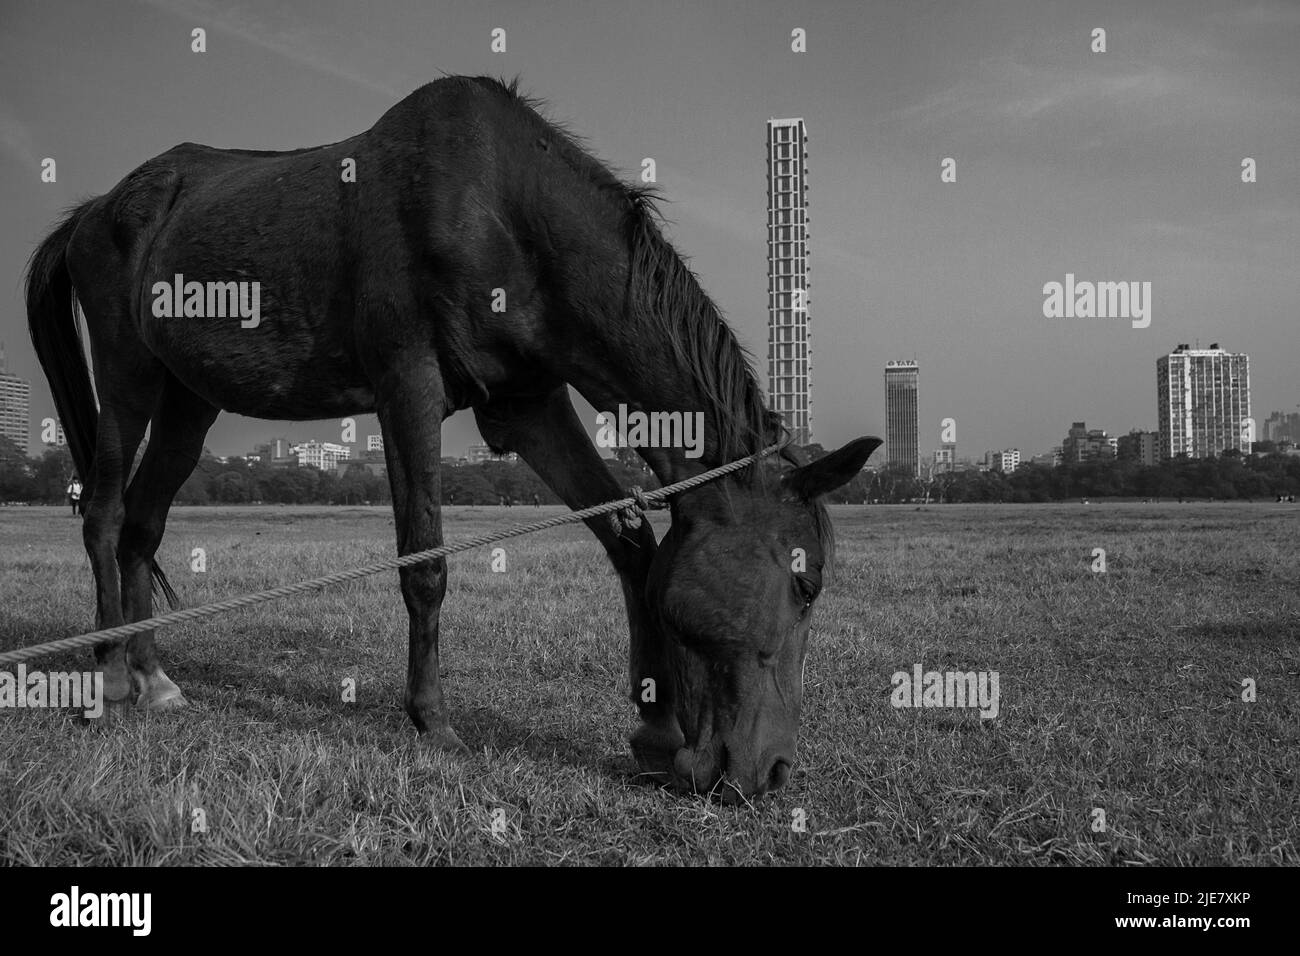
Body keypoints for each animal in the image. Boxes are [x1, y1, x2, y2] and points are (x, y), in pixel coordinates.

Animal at [27, 76, 883, 801]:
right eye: (807, 584)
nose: (771, 772)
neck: (499, 208)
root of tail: (101, 208)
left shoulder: (529, 405)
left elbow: (630, 539)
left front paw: (655, 730)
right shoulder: (408, 387)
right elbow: (426, 562)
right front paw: (432, 721)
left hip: (187, 402)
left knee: (142, 526)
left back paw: (154, 678)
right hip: (128, 376)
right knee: (105, 513)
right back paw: (109, 678)